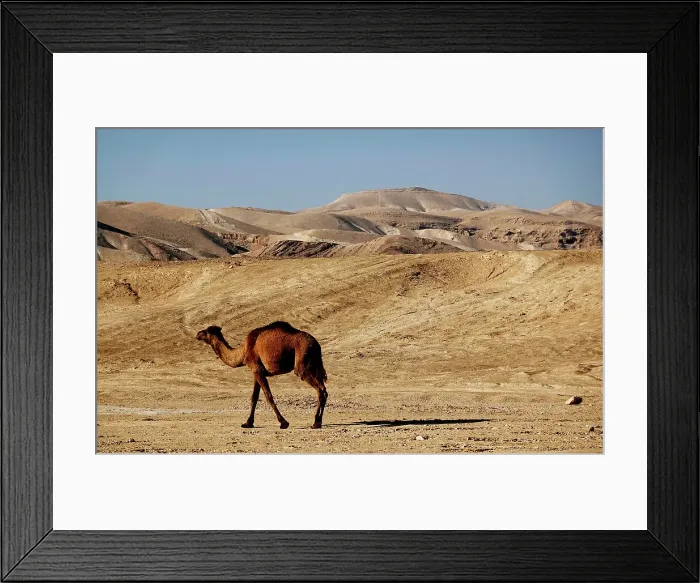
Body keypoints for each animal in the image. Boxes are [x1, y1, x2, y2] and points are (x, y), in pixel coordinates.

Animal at [196, 321, 328, 429]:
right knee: (324, 390)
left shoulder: (256, 369)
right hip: (315, 365)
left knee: (320, 390)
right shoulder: (257, 372)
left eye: (206, 331)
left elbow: (268, 396)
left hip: (302, 366)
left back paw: (315, 423)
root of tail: (316, 344)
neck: (243, 352)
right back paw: (318, 422)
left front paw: (283, 422)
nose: (198, 334)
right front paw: (248, 423)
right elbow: (254, 397)